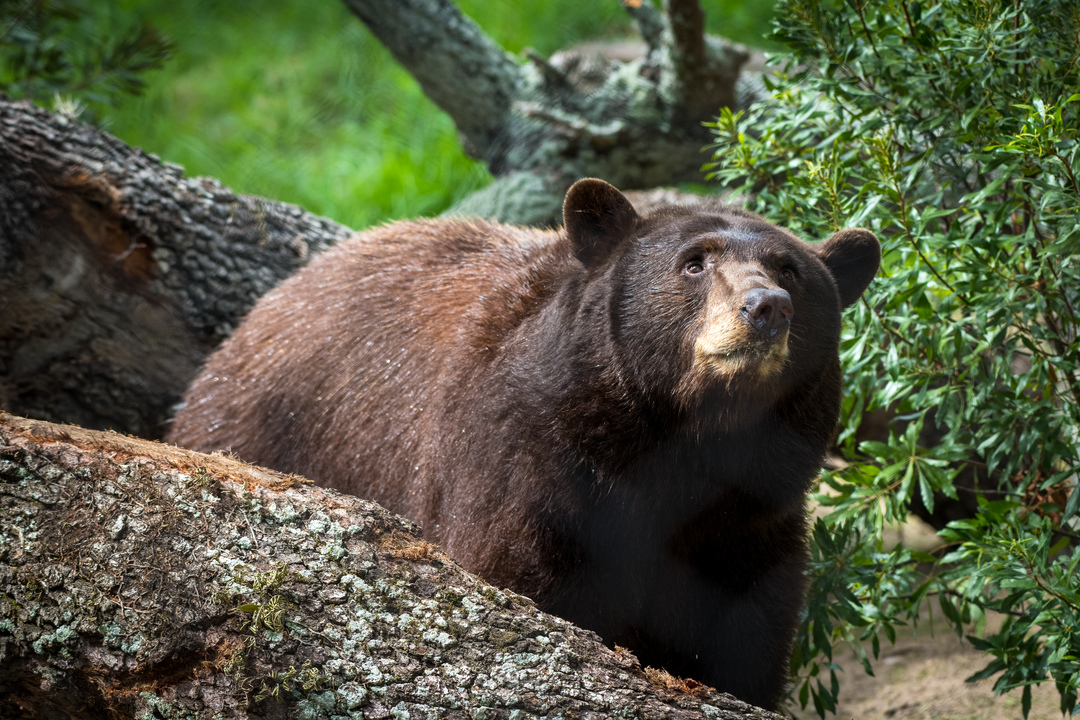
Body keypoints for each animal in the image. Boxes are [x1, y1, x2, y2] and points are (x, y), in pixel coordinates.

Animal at [167, 178, 880, 710]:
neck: (672, 453)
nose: (765, 307)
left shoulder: (750, 525)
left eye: (791, 270)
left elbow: (743, 643)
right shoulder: (524, 474)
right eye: (694, 262)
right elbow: (519, 583)